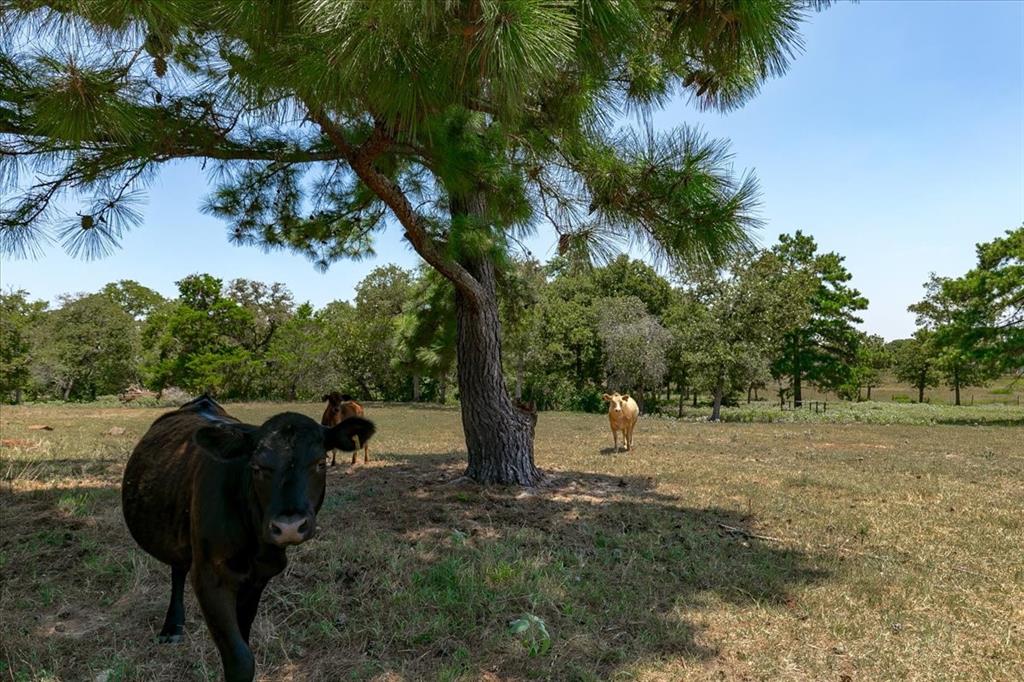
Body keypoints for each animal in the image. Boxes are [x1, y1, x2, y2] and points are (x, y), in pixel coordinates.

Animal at [122, 395, 374, 675]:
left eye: (320, 463)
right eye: (256, 466)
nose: (288, 526)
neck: (255, 544)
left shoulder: (259, 576)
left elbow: (243, 637)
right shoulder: (209, 576)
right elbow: (240, 658)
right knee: (178, 570)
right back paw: (172, 626)